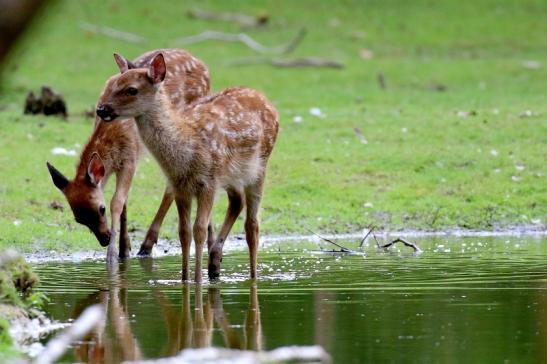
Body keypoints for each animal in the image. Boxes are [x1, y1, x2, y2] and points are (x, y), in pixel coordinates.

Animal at [46, 49, 212, 262]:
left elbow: (117, 201)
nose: (104, 239)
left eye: (101, 209)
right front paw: (124, 249)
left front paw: (112, 255)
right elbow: (124, 202)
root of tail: (200, 63)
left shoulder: (130, 158)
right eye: (78, 219)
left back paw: (147, 244)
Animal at [94, 53, 280, 282]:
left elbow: (199, 230)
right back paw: (215, 262)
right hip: (232, 176)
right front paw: (185, 278)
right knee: (237, 202)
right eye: (113, 84)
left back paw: (252, 276)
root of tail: (267, 102)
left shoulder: (209, 182)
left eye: (131, 89)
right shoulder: (180, 186)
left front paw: (198, 280)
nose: (101, 109)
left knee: (252, 225)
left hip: (259, 167)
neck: (185, 152)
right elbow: (184, 232)